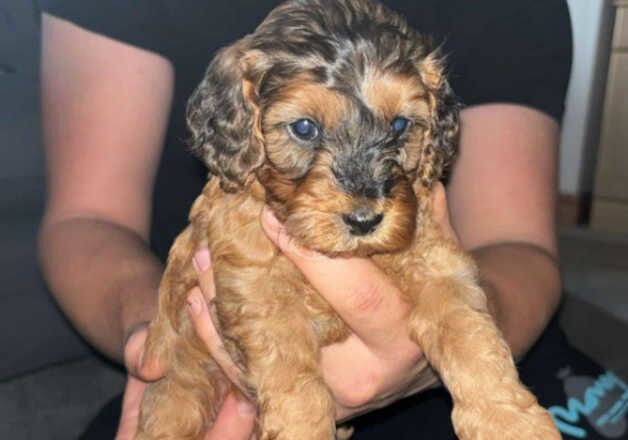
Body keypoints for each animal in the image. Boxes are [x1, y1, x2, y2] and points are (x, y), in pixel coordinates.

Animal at [136, 1, 560, 438]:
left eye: (399, 124)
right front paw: (301, 428)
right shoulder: (261, 297)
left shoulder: (436, 263)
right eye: (304, 127)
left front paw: (510, 423)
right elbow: (293, 381)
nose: (364, 221)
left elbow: (469, 334)